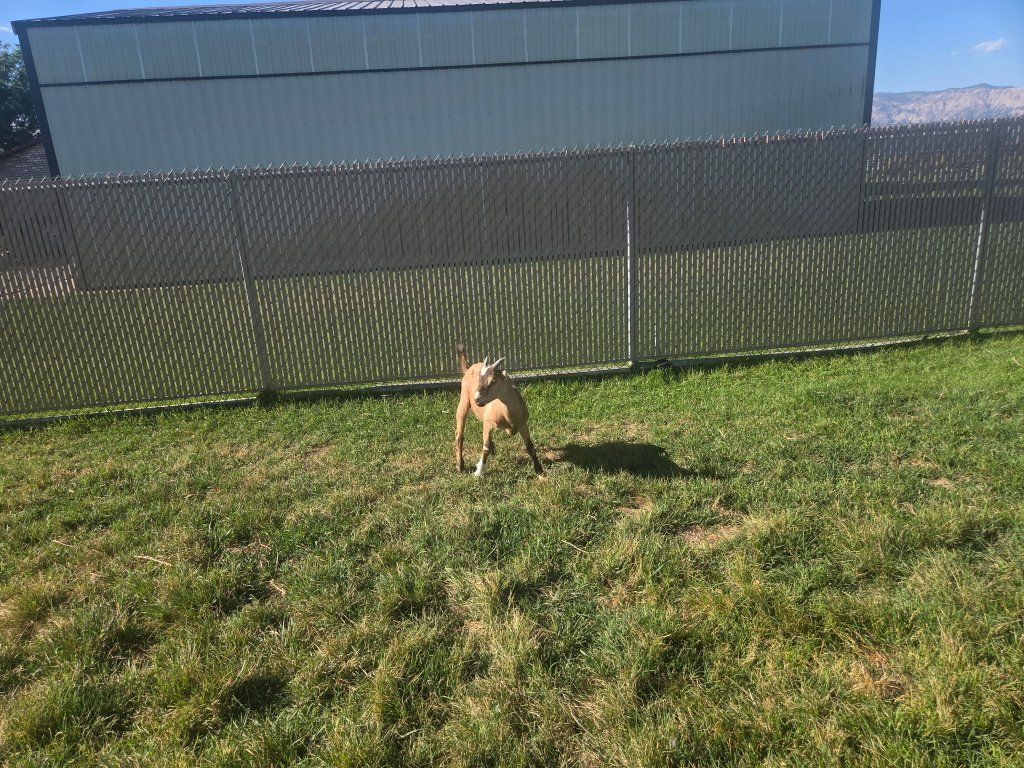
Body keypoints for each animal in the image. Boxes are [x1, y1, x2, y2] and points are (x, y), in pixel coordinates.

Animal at [454, 344, 543, 477]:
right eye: (479, 379)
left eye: (493, 381)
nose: (477, 399)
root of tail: (469, 368)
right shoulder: (489, 422)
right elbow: (485, 447)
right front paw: (479, 471)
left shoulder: (523, 424)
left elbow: (530, 446)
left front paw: (539, 469)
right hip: (464, 400)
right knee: (459, 435)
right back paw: (460, 466)